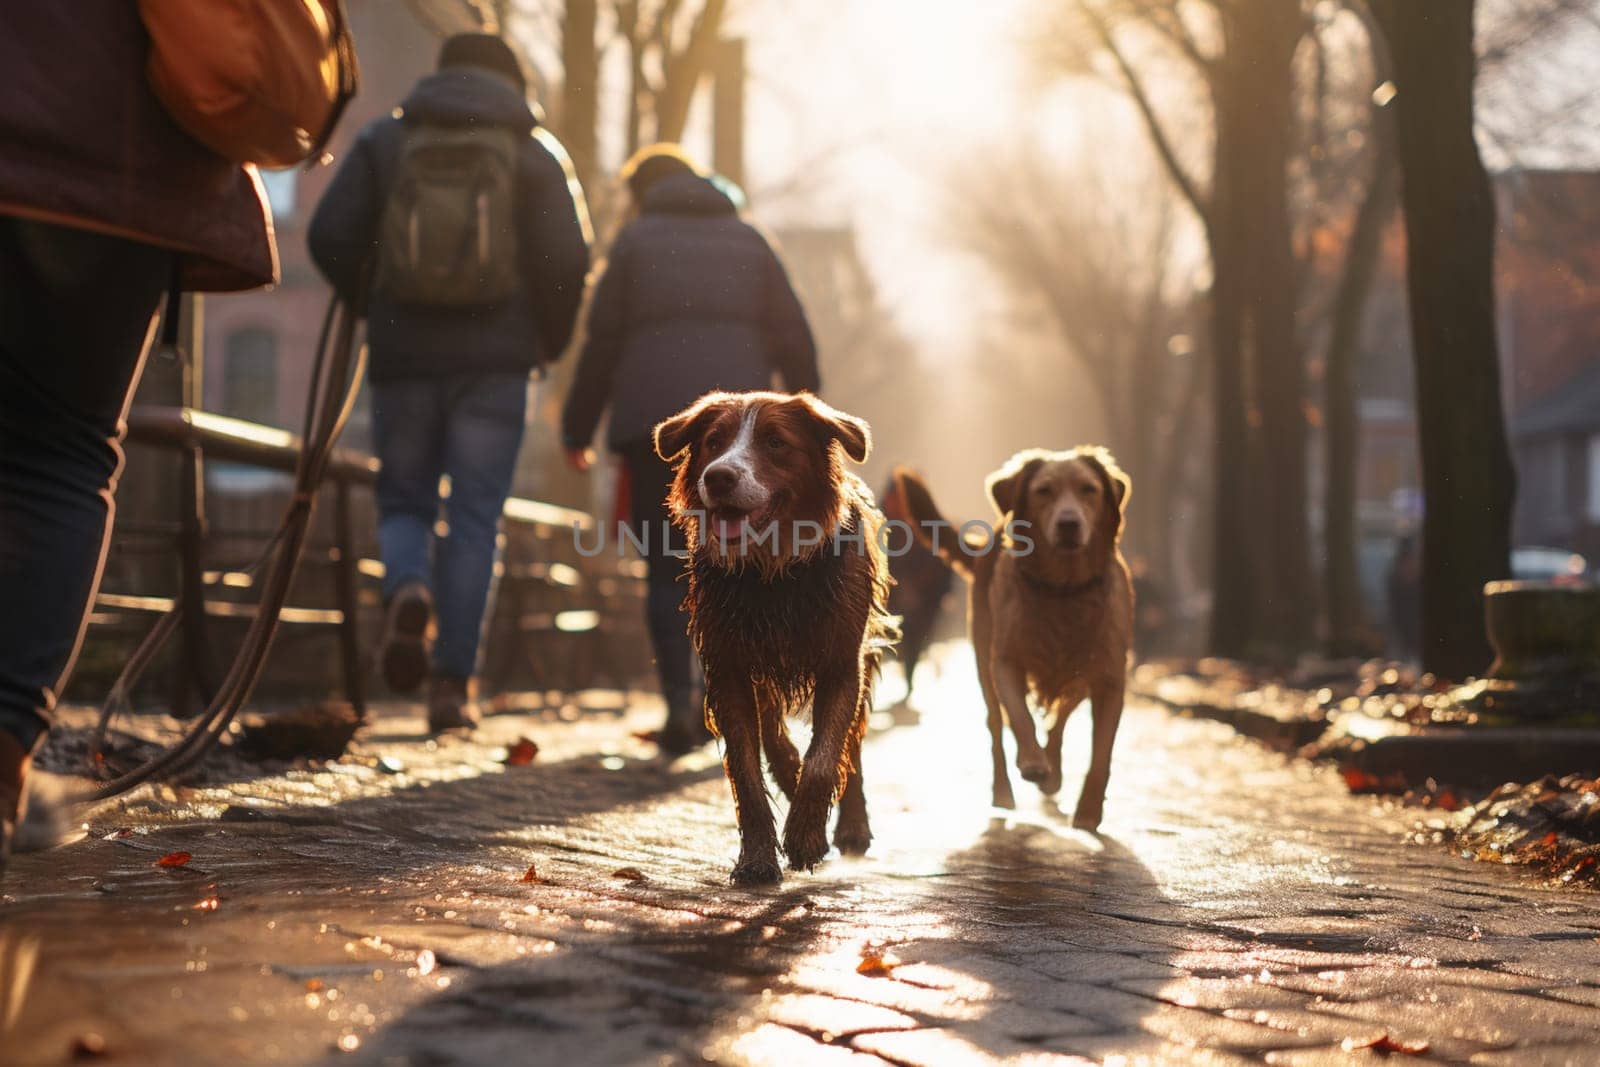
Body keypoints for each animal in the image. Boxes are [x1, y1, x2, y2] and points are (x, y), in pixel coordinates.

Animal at [652, 390, 902, 883]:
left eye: (775, 442)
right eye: (713, 441)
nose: (719, 476)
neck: (773, 572)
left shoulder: (842, 661)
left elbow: (826, 757)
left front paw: (806, 837)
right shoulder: (728, 667)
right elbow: (747, 769)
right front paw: (757, 857)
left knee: (850, 749)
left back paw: (852, 826)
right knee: (773, 734)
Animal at [896, 447, 1132, 831]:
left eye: (1089, 490)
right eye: (1043, 491)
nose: (1069, 523)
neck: (1064, 590)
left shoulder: (1109, 677)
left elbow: (1101, 752)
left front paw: (1088, 812)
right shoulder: (1005, 660)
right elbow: (1019, 718)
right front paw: (1033, 762)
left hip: (1079, 675)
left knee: (1059, 719)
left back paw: (1053, 772)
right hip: (982, 656)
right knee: (996, 723)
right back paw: (1004, 791)